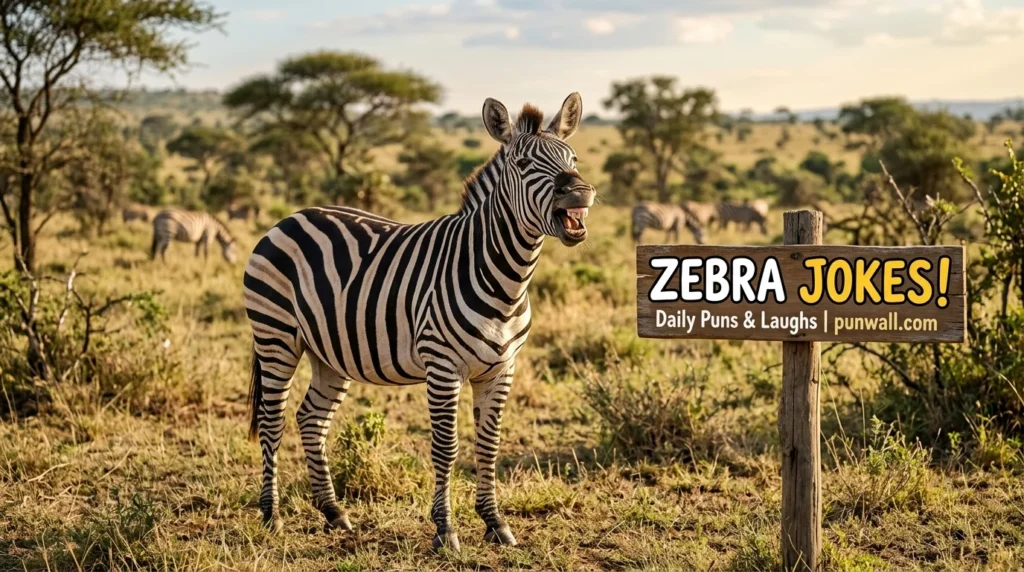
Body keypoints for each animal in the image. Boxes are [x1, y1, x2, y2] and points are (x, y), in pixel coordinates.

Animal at [243, 93, 594, 552]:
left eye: (573, 157)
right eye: (522, 164)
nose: (580, 192)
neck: (504, 278)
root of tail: (289, 218)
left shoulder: (501, 368)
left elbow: (489, 445)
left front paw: (495, 522)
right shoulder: (442, 366)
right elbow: (446, 448)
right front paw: (445, 530)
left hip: (329, 352)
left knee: (311, 418)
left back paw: (335, 513)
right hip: (276, 336)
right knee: (272, 420)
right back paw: (272, 515)